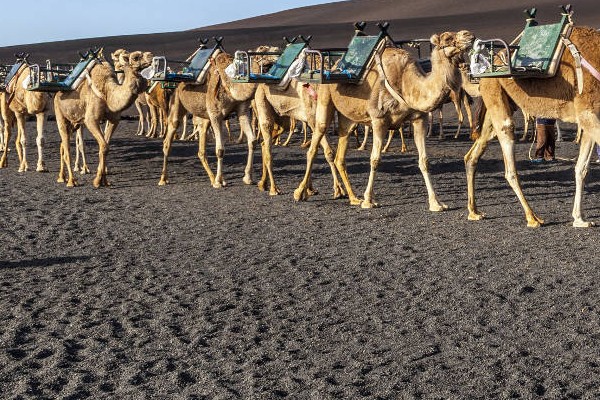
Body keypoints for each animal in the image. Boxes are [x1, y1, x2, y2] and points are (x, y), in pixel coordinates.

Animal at [54, 50, 150, 188]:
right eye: (135, 57)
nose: (151, 56)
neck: (108, 92)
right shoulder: (91, 120)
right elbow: (103, 146)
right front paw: (97, 180)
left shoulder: (114, 120)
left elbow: (105, 147)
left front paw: (104, 180)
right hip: (60, 116)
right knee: (66, 149)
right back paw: (72, 181)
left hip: (74, 123)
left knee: (62, 145)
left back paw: (61, 177)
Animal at [294, 27, 474, 209]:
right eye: (447, 38)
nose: (469, 35)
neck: (406, 82)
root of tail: (334, 67)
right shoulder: (378, 119)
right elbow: (375, 159)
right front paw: (368, 200)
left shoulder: (419, 119)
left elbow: (424, 161)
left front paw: (436, 203)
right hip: (325, 100)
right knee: (314, 145)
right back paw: (301, 192)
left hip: (348, 119)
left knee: (340, 154)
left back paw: (353, 197)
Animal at [466, 10, 600, 228]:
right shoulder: (587, 111)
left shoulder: (592, 115)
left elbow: (581, 168)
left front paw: (579, 219)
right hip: (495, 95)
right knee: (509, 166)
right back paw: (532, 217)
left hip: (498, 105)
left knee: (472, 156)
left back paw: (474, 212)